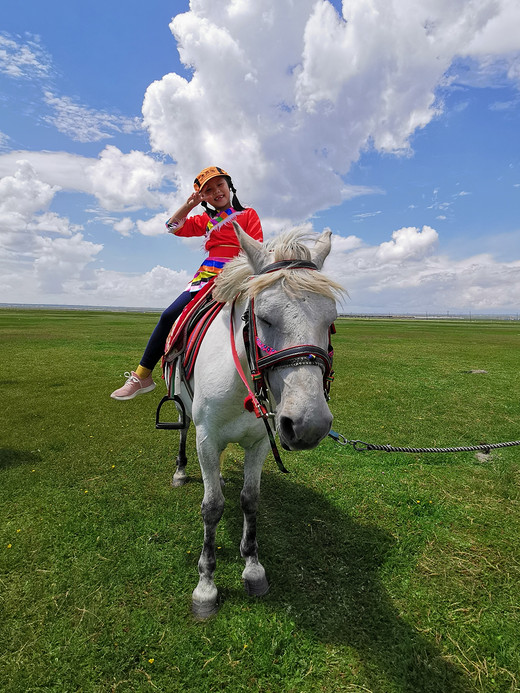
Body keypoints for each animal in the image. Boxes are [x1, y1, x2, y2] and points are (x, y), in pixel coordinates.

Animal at [167, 224, 344, 620]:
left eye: (331, 323)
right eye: (263, 317)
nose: (309, 424)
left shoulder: (260, 442)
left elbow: (250, 499)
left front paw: (252, 568)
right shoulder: (207, 438)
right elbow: (212, 507)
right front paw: (206, 586)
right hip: (185, 413)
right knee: (184, 431)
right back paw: (182, 470)